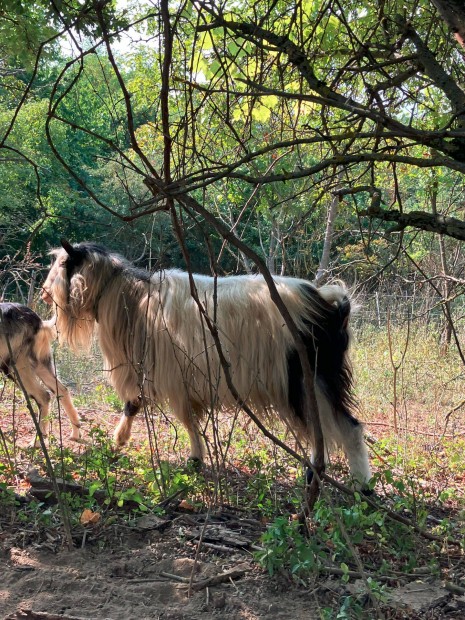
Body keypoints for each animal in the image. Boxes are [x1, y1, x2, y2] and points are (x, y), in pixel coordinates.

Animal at [0, 302, 80, 444]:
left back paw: (37, 442)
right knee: (62, 390)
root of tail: (38, 320)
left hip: (14, 368)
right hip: (40, 366)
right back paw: (75, 432)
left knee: (44, 396)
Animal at [42, 240, 370, 486]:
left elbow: (165, 413)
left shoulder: (167, 373)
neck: (132, 300)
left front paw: (128, 442)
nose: (44, 294)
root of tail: (331, 303)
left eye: (62, 267)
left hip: (308, 379)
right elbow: (160, 411)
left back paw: (360, 485)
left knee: (347, 427)